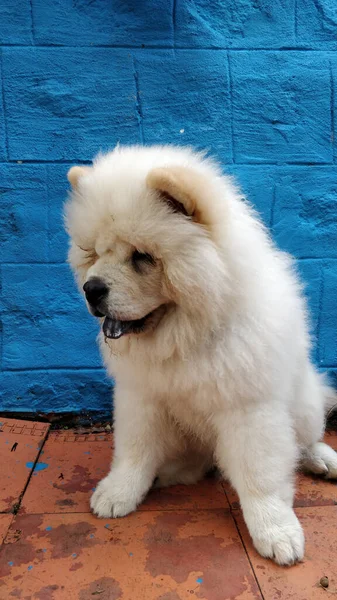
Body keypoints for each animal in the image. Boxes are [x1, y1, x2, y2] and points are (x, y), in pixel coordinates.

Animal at [65, 143, 336, 564]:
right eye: (92, 252)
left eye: (142, 256)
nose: (91, 288)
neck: (184, 337)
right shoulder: (141, 398)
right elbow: (134, 450)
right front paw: (119, 492)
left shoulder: (248, 409)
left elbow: (260, 477)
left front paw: (276, 533)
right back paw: (169, 472)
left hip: (304, 403)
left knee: (304, 441)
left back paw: (322, 460)